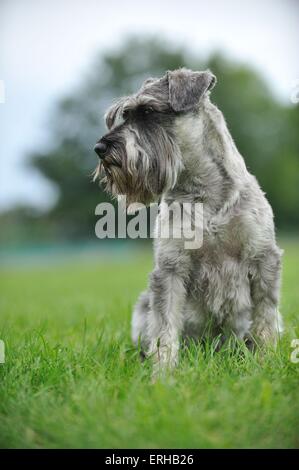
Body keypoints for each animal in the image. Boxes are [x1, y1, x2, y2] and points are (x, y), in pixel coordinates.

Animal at [94, 68, 284, 374]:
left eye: (147, 111)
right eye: (123, 114)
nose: (99, 147)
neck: (202, 190)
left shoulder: (263, 258)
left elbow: (265, 318)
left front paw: (265, 360)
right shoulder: (171, 268)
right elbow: (164, 327)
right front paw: (163, 372)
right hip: (142, 307)